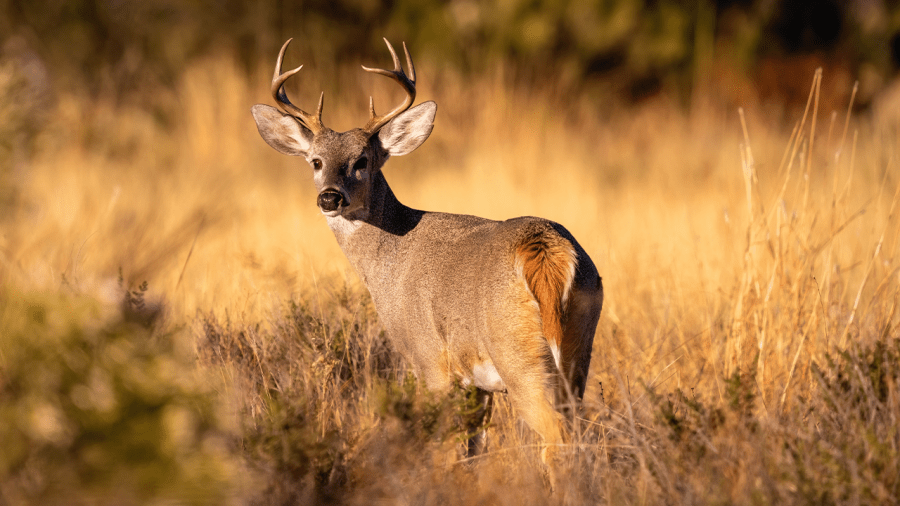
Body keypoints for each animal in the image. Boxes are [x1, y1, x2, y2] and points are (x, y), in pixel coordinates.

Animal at [251, 38, 603, 486]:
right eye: (315, 161)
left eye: (362, 161)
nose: (329, 197)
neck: (390, 259)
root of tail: (544, 247)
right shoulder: (476, 383)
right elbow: (473, 451)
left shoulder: (429, 360)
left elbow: (446, 451)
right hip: (578, 350)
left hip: (518, 356)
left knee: (557, 441)